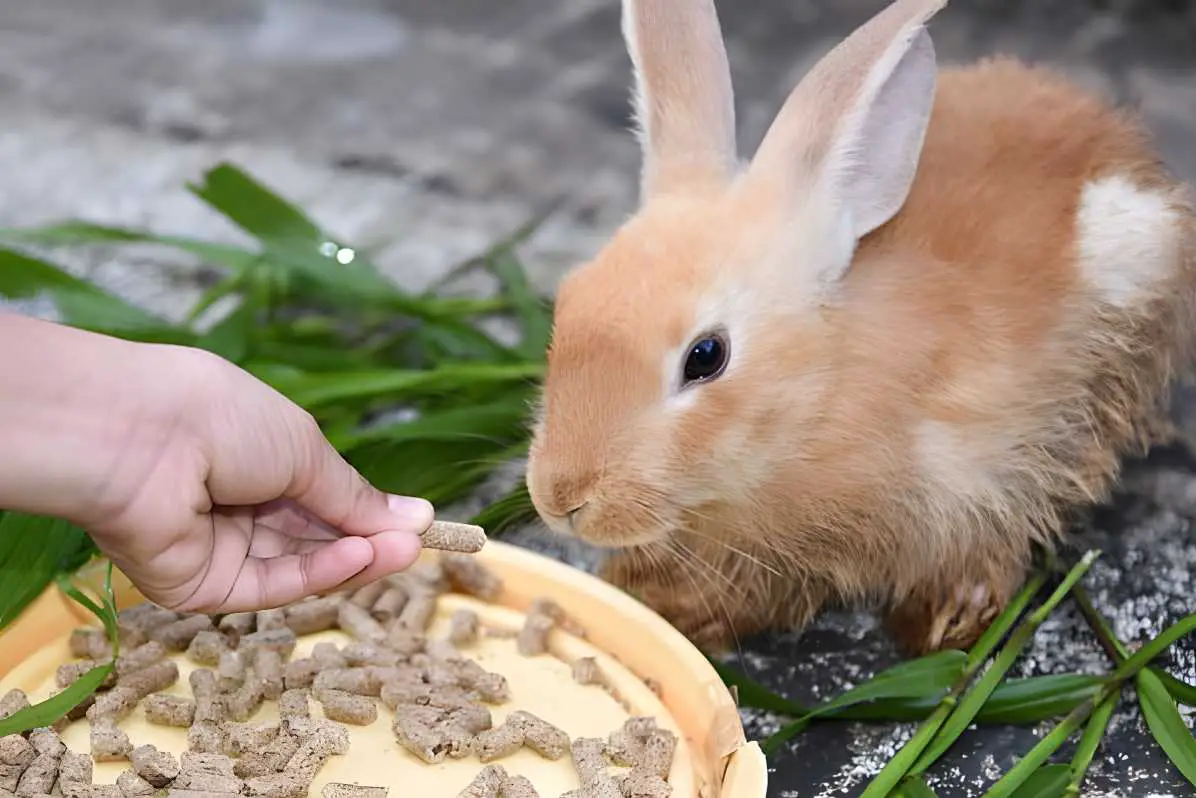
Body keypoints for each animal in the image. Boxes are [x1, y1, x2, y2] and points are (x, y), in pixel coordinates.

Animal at [528, 0, 1196, 655]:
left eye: (706, 356)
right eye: (569, 299)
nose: (562, 499)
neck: (818, 396)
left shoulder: (988, 475)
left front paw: (945, 624)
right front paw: (656, 597)